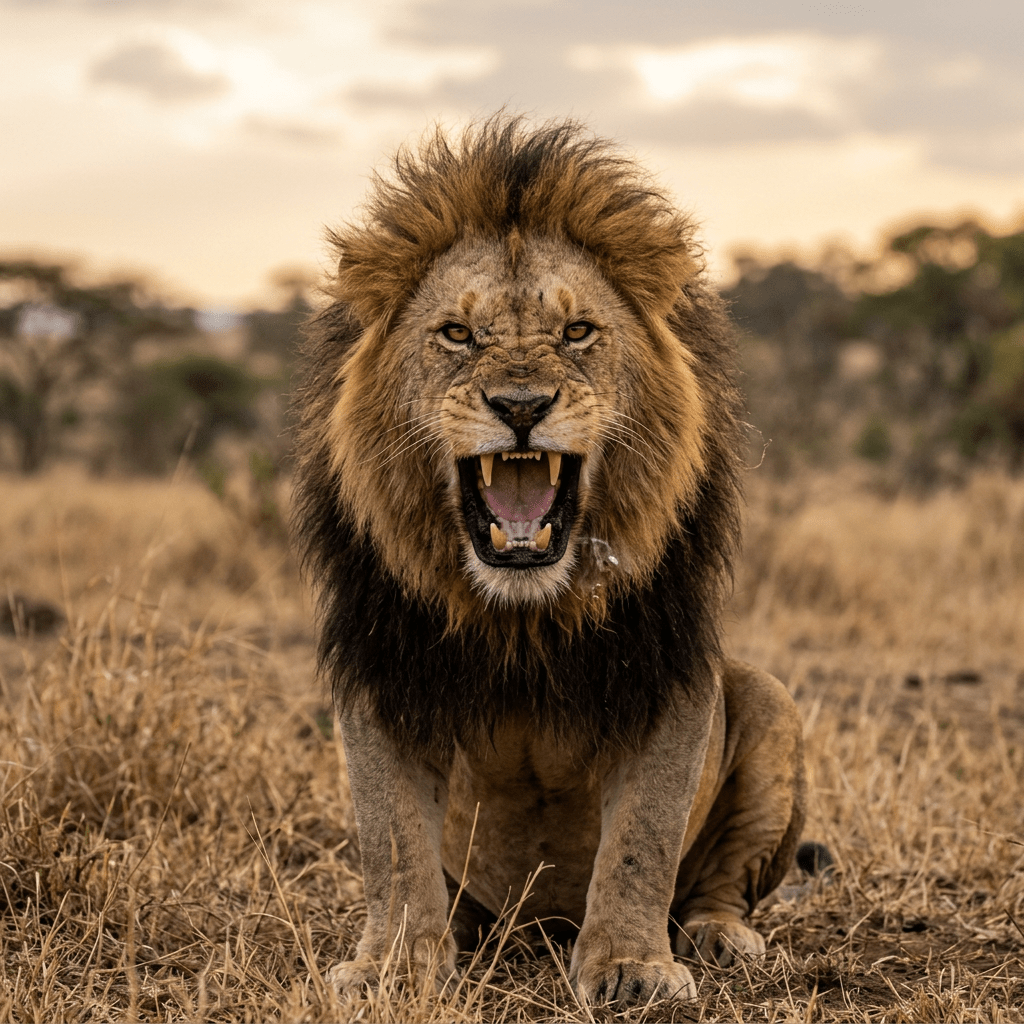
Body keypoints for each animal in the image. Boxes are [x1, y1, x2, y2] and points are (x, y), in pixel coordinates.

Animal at [292, 115, 806, 1007]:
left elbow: (642, 839)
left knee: (721, 884)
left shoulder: (669, 671)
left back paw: (718, 937)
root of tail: (539, 930)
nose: (522, 405)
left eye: (577, 332)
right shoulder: (384, 668)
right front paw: (395, 966)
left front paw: (633, 968)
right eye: (457, 334)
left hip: (771, 704)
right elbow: (391, 839)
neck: (522, 611)